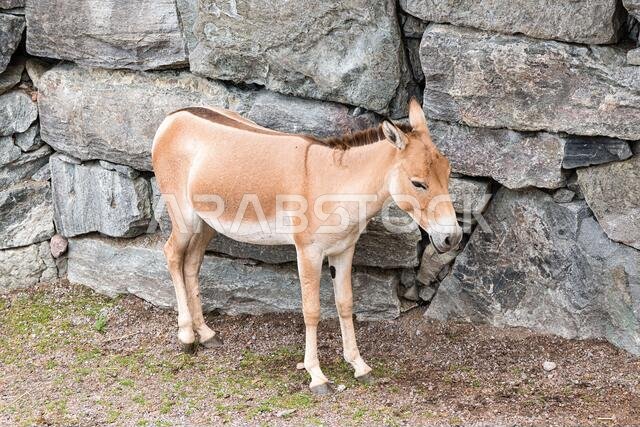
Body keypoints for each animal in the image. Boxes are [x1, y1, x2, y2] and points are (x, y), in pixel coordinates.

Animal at [151, 98, 463, 394]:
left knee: (192, 264)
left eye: (448, 173)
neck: (334, 185)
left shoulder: (343, 250)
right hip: (184, 217)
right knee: (172, 255)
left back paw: (206, 334)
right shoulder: (308, 252)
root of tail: (174, 116)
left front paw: (358, 365)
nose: (453, 238)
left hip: (206, 223)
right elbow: (311, 310)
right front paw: (317, 376)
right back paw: (186, 337)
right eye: (418, 183)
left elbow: (345, 303)